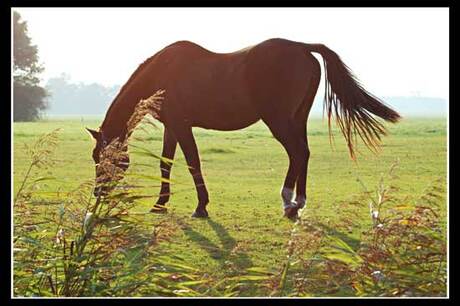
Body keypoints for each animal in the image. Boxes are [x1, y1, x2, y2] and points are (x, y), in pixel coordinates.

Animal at [86, 38, 398, 219]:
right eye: (95, 158)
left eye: (104, 158)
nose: (99, 193)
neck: (162, 73)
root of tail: (302, 47)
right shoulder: (171, 128)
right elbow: (166, 163)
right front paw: (160, 204)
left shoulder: (182, 126)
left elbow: (193, 163)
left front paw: (201, 207)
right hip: (297, 119)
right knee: (304, 154)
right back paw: (299, 202)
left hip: (279, 121)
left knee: (297, 153)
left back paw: (289, 203)